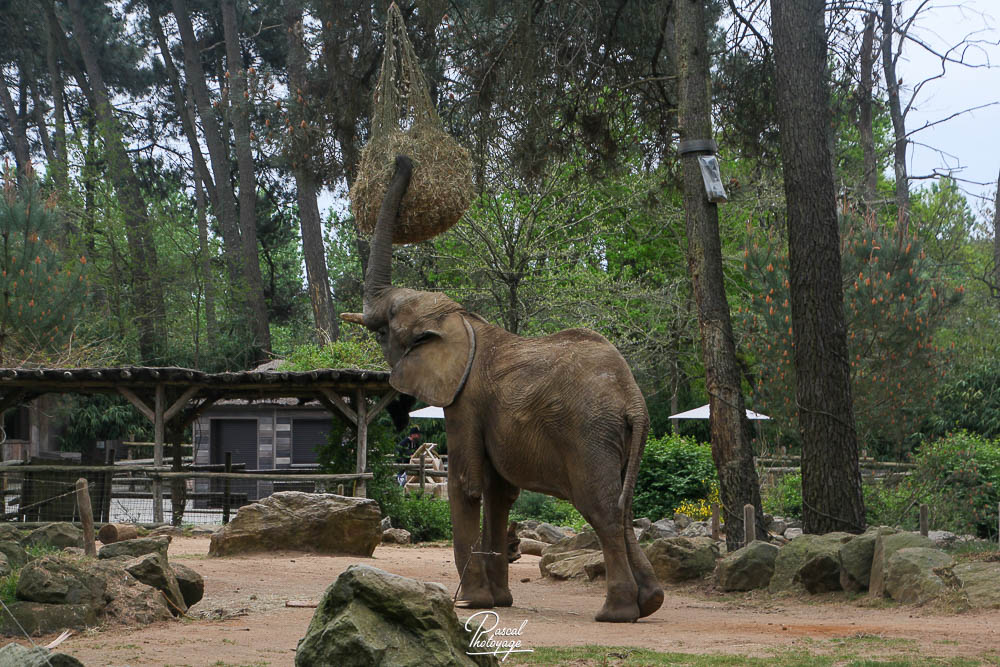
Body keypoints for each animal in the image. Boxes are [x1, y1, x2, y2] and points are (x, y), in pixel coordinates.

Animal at [341, 155, 664, 622]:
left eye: (385, 330)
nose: (405, 161)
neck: (462, 320)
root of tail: (632, 398)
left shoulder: (463, 401)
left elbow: (466, 484)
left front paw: (470, 602)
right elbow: (499, 494)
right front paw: (498, 602)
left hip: (589, 434)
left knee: (601, 509)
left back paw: (615, 614)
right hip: (619, 437)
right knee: (624, 508)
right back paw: (651, 602)